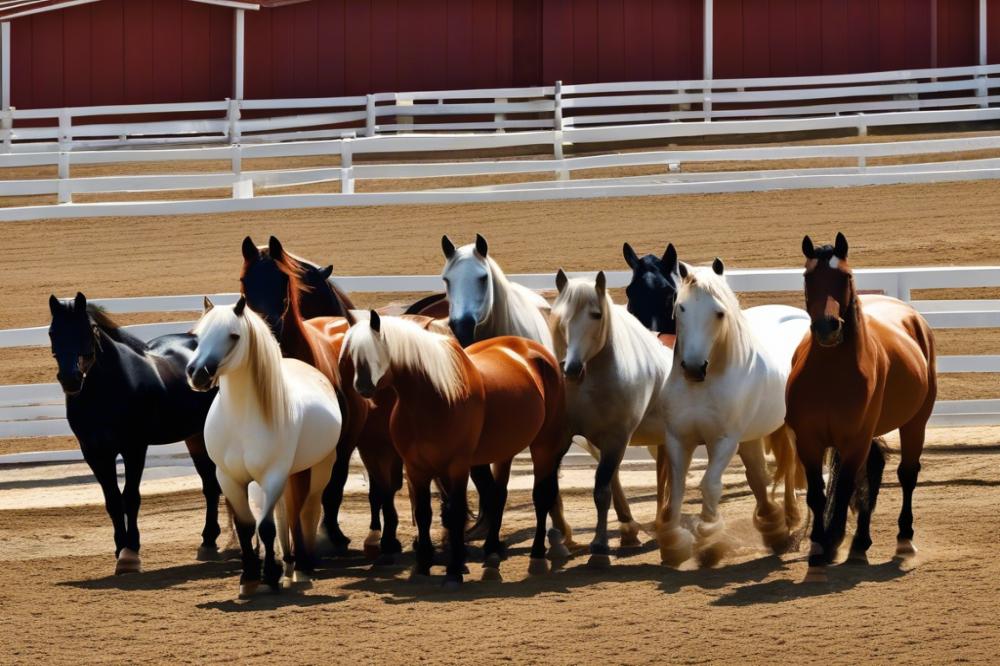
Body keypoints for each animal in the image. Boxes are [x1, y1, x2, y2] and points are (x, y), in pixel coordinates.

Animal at [47, 294, 224, 572]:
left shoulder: (134, 448)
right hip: (194, 437)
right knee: (210, 484)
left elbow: (130, 497)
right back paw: (208, 540)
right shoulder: (96, 454)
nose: (70, 379)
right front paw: (120, 548)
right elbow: (112, 500)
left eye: (87, 330)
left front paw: (131, 552)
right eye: (52, 332)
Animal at [188, 296, 344, 596]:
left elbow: (267, 528)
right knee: (288, 517)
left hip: (320, 467)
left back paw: (303, 568)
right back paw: (289, 568)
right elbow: (248, 526)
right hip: (291, 475)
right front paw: (249, 578)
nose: (198, 374)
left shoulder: (271, 477)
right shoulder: (229, 478)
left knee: (305, 511)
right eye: (198, 337)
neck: (241, 419)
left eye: (233, 336)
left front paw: (269, 576)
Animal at [548, 268, 672, 564]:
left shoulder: (616, 439)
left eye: (596, 315)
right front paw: (559, 543)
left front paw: (600, 548)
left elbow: (602, 491)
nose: (571, 369)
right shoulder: (564, 437)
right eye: (560, 317)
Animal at [660, 258, 808, 564]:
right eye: (681, 308)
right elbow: (677, 488)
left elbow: (710, 485)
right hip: (757, 434)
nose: (693, 368)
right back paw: (778, 523)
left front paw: (708, 534)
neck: (702, 386)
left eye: (719, 313)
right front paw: (673, 541)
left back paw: (792, 518)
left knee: (791, 467)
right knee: (761, 475)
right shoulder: (678, 439)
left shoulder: (725, 441)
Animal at [788, 233, 936, 580]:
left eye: (845, 276)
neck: (830, 373)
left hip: (915, 423)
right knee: (875, 469)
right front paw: (818, 549)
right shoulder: (809, 441)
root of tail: (911, 316)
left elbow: (843, 491)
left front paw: (831, 541)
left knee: (907, 474)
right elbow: (818, 494)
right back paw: (860, 543)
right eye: (808, 276)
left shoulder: (854, 440)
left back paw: (904, 539)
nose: (827, 327)